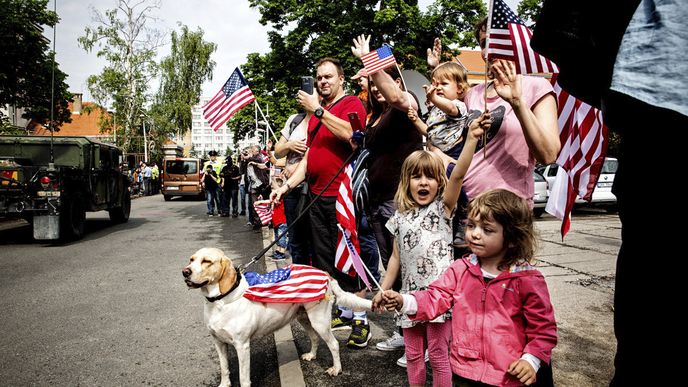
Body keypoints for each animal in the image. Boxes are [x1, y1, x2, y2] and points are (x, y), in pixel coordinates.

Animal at [183, 249, 370, 387]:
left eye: (207, 261)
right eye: (191, 259)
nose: (185, 272)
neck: (220, 301)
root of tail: (324, 273)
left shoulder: (242, 346)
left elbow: (243, 377)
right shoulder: (219, 343)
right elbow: (224, 369)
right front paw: (224, 384)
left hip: (320, 321)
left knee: (334, 344)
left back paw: (336, 369)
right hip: (305, 318)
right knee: (314, 338)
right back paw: (311, 355)